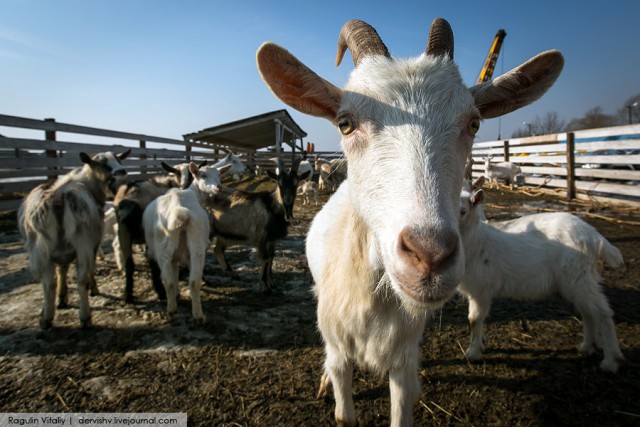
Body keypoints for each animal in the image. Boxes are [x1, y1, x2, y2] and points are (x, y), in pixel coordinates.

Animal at [18, 149, 130, 330]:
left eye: (119, 160)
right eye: (102, 164)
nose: (122, 173)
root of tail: (57, 197)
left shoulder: (62, 249)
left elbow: (62, 269)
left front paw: (62, 298)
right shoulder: (92, 242)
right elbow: (88, 268)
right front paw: (93, 290)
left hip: (40, 246)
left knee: (48, 283)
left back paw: (47, 317)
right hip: (81, 242)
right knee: (80, 279)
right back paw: (84, 317)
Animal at [142, 162, 230, 322]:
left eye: (219, 175)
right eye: (203, 175)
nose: (219, 187)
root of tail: (180, 210)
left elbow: (174, 276)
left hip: (164, 250)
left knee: (168, 281)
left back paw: (171, 311)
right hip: (197, 245)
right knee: (194, 281)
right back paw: (198, 316)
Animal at [258, 15, 564, 424]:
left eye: (474, 124)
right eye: (344, 123)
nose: (430, 255)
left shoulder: (403, 358)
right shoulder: (339, 346)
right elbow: (344, 411)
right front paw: (332, 393)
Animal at [458, 189, 628, 372]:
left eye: (463, 211)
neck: (476, 243)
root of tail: (595, 237)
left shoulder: (481, 289)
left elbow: (474, 319)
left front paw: (473, 353)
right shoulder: (475, 290)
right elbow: (473, 319)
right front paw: (477, 348)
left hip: (578, 276)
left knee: (602, 312)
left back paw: (610, 361)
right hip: (576, 280)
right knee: (588, 312)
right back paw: (587, 347)